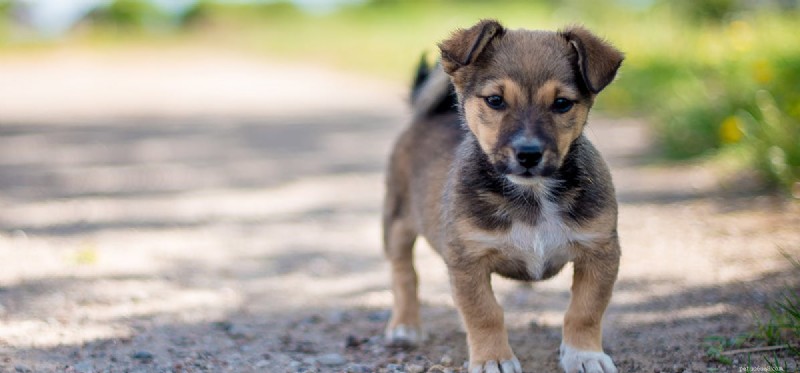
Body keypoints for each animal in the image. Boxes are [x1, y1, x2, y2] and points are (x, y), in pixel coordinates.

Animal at [382, 20, 624, 372]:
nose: (528, 154)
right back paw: (405, 326)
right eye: (495, 100)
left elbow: (585, 310)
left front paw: (584, 354)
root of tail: (431, 113)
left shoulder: (600, 251)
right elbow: (485, 313)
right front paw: (493, 359)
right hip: (397, 223)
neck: (533, 195)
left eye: (562, 103)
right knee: (404, 275)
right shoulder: (467, 259)